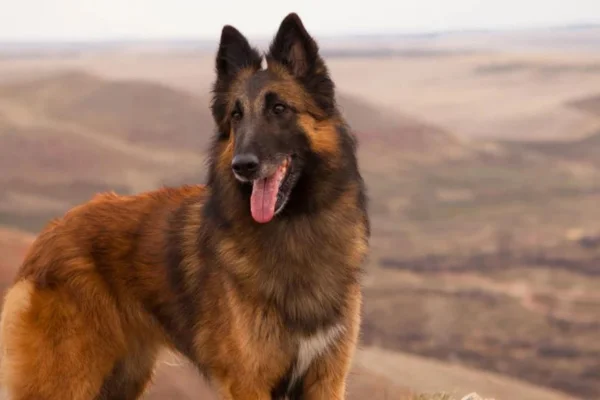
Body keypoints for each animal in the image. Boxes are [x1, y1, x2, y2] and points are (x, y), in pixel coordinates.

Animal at [0, 12, 370, 400]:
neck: (295, 228)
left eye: (279, 108)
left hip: (122, 378)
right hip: (65, 380)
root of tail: (45, 237)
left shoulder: (326, 378)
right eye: (236, 115)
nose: (242, 166)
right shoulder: (249, 382)